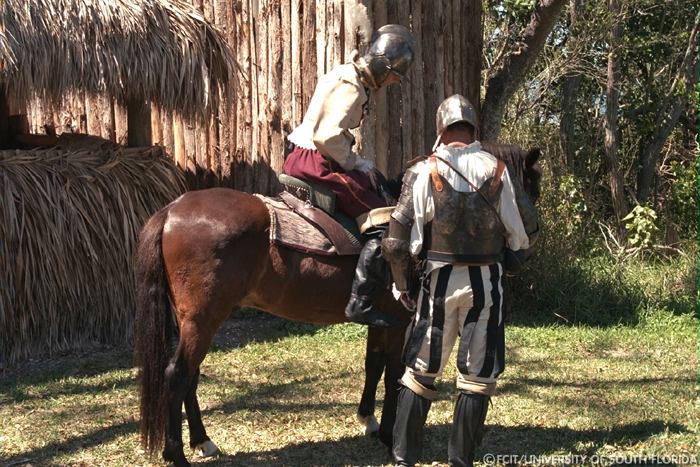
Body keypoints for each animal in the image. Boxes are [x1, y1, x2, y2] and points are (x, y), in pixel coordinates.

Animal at [134, 144, 544, 467]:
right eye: (531, 187)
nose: (527, 244)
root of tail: (172, 210)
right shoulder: (400, 320)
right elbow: (394, 373)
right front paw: (389, 435)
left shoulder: (382, 319)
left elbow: (373, 365)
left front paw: (369, 420)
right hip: (203, 318)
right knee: (177, 375)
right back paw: (177, 454)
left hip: (197, 320)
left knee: (189, 377)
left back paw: (202, 441)